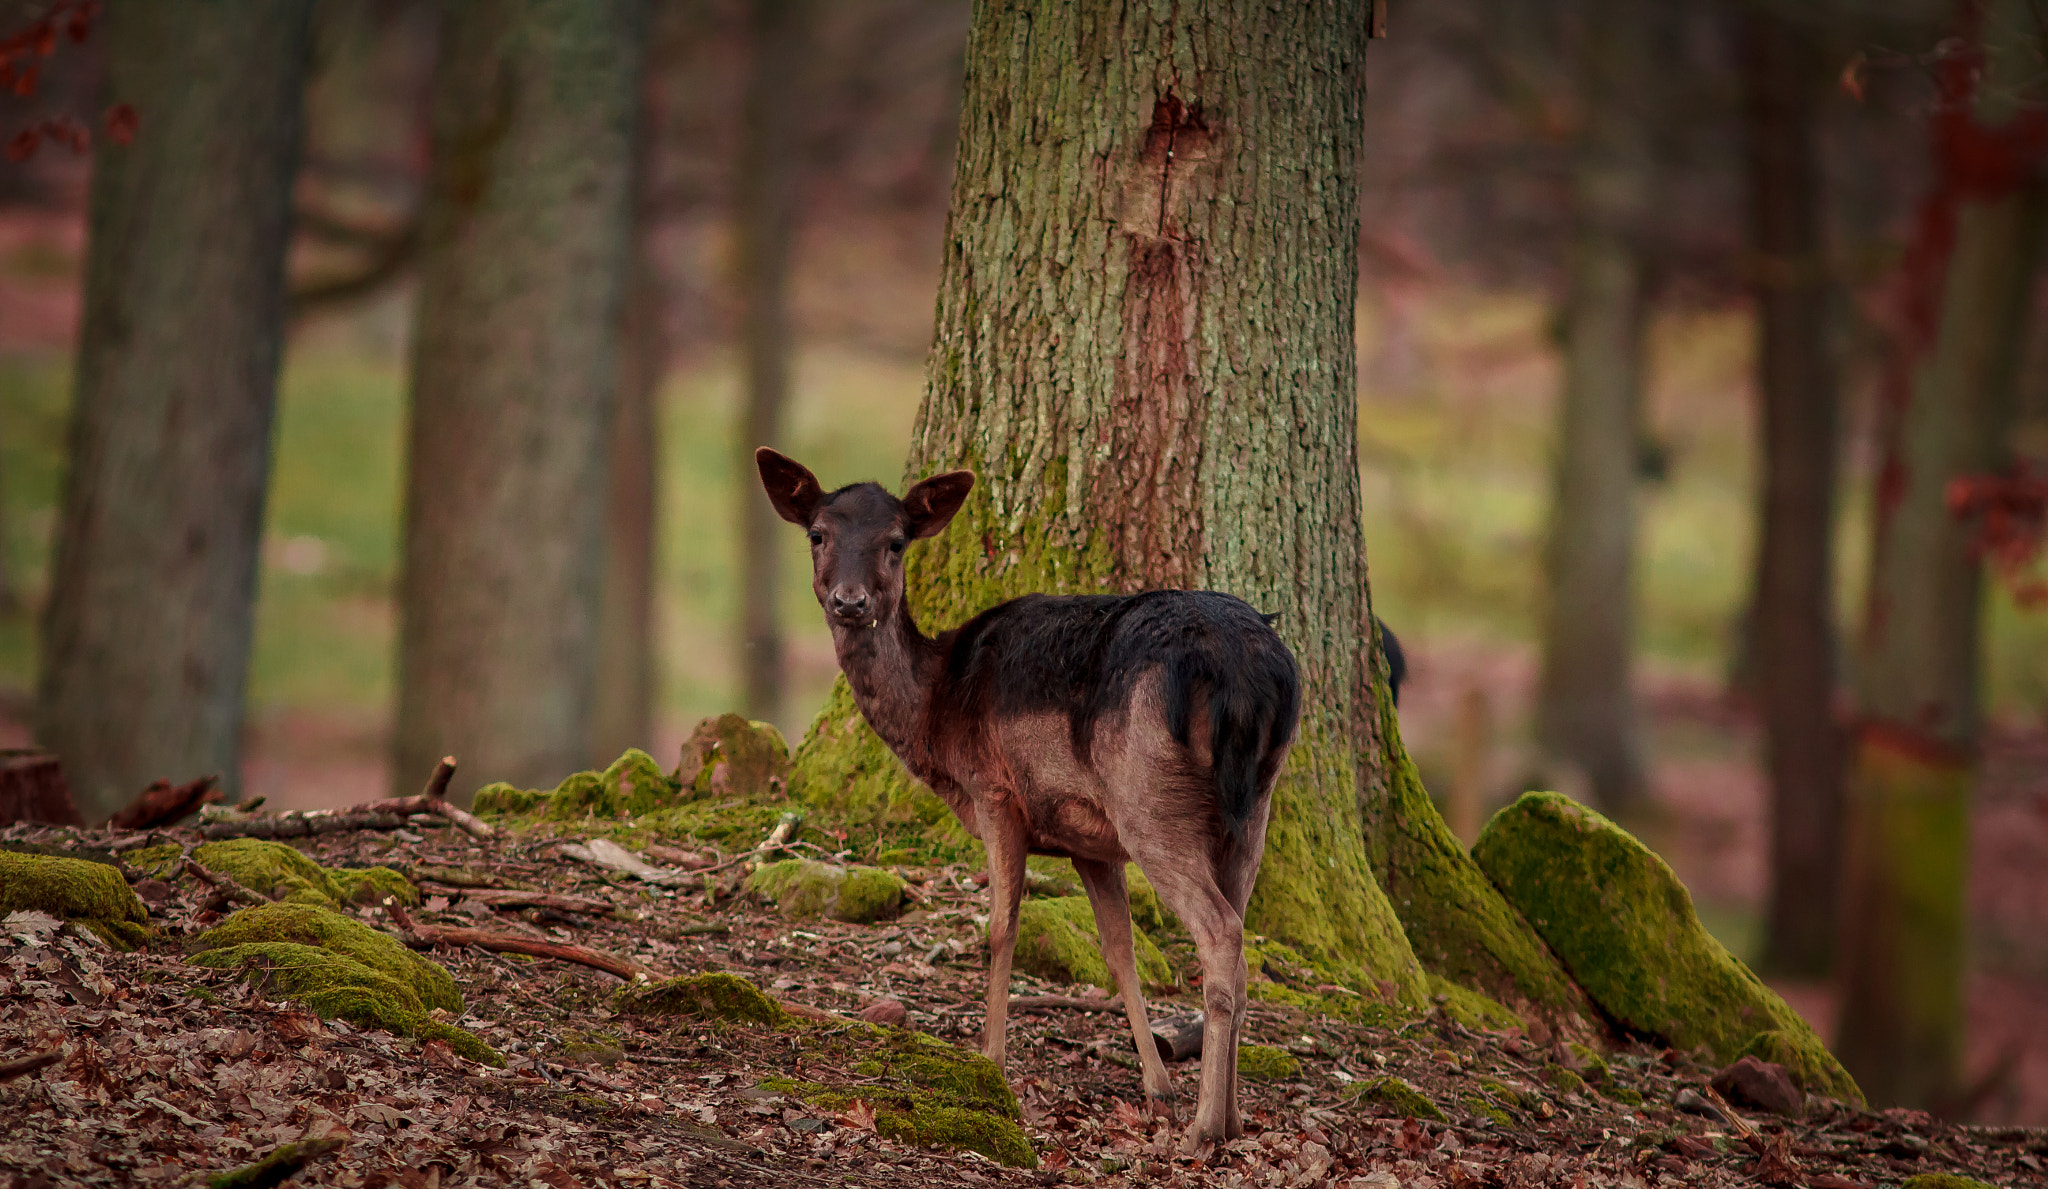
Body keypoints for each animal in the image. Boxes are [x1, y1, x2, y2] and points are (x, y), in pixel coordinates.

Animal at [753, 448, 1294, 1146]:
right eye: (818, 534)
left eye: (896, 541)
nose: (850, 600)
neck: (937, 712)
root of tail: (1245, 673)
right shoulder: (1089, 839)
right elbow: (1118, 952)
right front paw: (1156, 1086)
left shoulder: (996, 791)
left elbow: (1001, 927)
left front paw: (991, 1061)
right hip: (1253, 805)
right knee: (1242, 934)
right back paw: (1230, 1115)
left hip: (1149, 798)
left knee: (1221, 933)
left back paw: (1205, 1130)